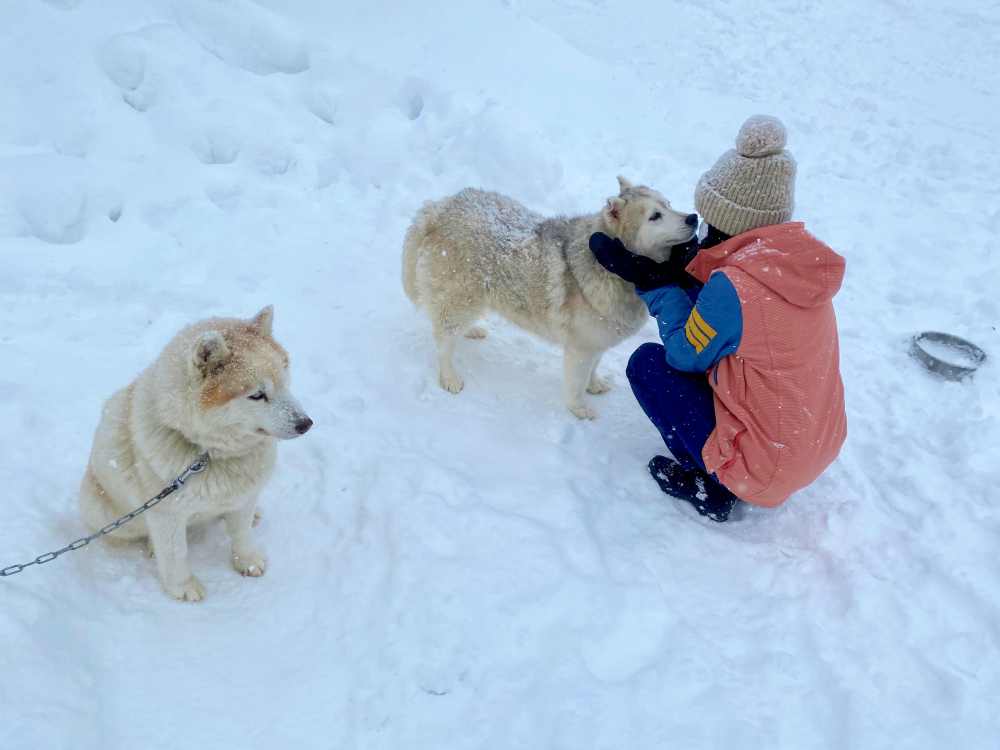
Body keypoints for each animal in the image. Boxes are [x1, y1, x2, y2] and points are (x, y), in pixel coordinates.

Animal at [79, 302, 308, 604]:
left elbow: (242, 533)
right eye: (257, 395)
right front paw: (182, 587)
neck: (208, 454)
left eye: (284, 381)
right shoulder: (167, 513)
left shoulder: (244, 497)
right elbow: (176, 554)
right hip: (108, 511)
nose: (306, 423)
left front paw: (246, 561)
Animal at [398, 178, 696, 420]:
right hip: (460, 298)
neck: (613, 266)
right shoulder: (580, 348)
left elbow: (594, 368)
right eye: (655, 216)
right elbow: (576, 385)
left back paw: (471, 330)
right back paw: (449, 376)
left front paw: (594, 384)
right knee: (444, 342)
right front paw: (578, 409)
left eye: (668, 204)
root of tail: (441, 207)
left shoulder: (598, 339)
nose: (693, 218)